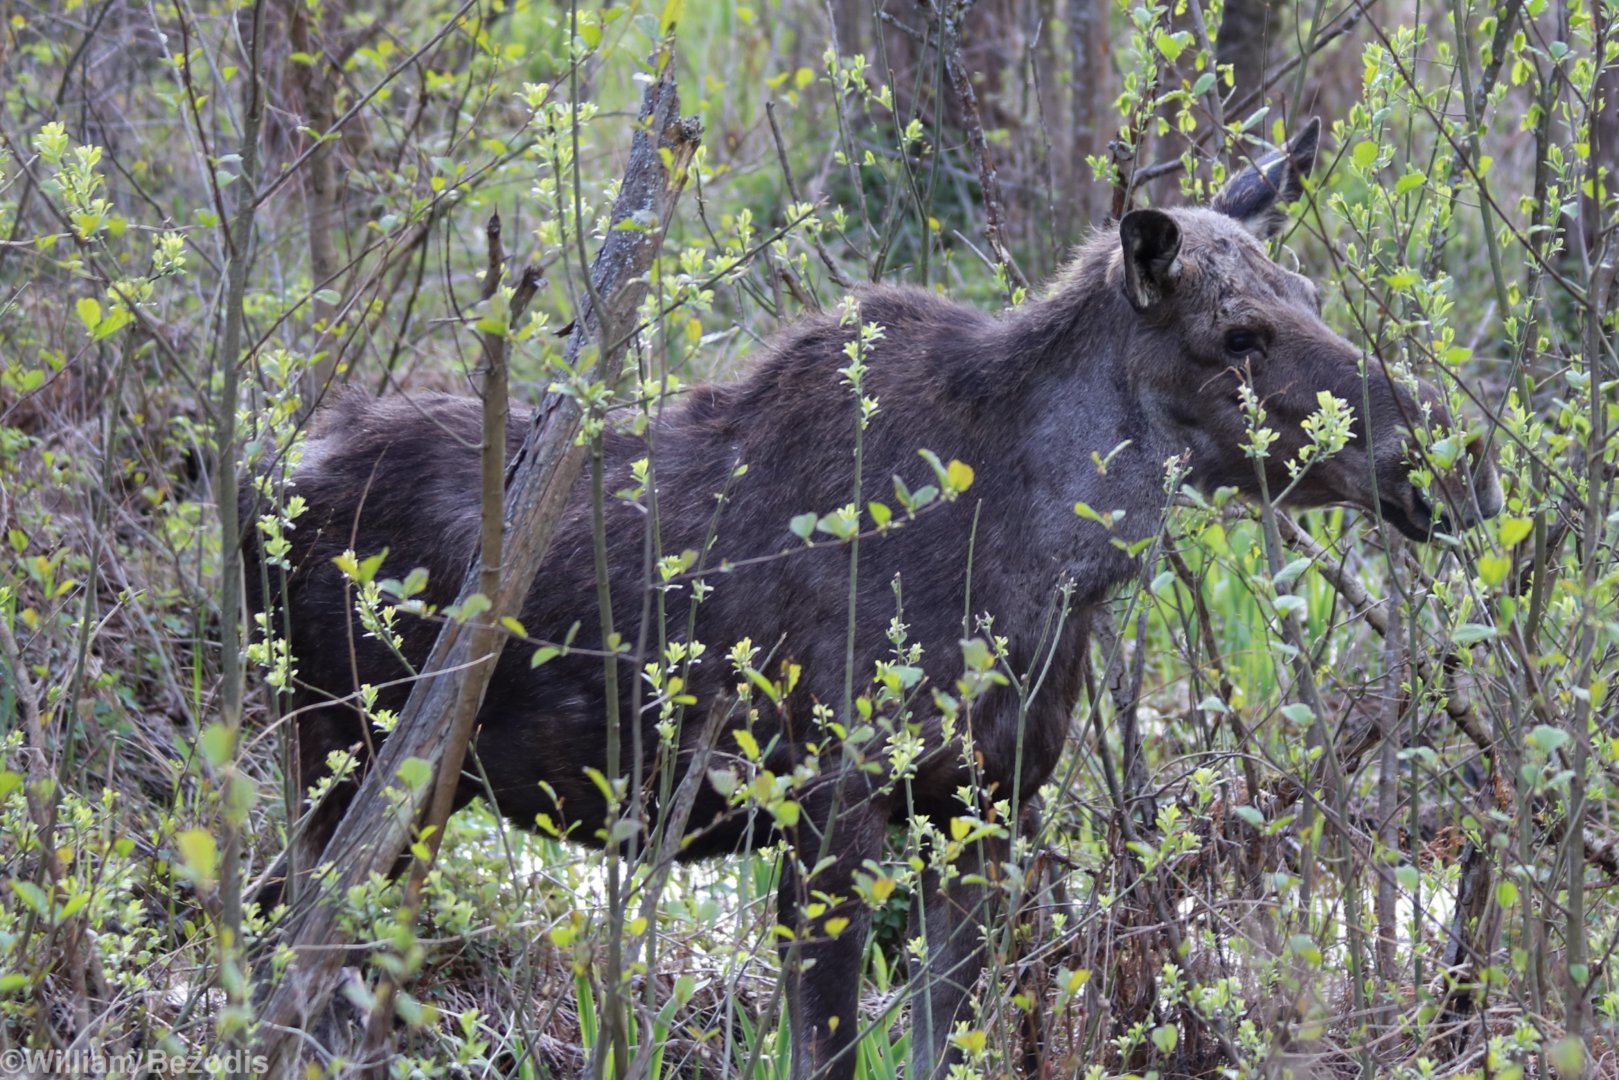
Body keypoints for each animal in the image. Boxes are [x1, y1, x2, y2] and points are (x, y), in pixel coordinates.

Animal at [243, 118, 1503, 1079]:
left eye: (1308, 291)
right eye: (1236, 333)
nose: (1456, 463)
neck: (1050, 566)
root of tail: (268, 483)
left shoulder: (982, 810)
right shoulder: (825, 813)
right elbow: (832, 1047)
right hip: (346, 759)